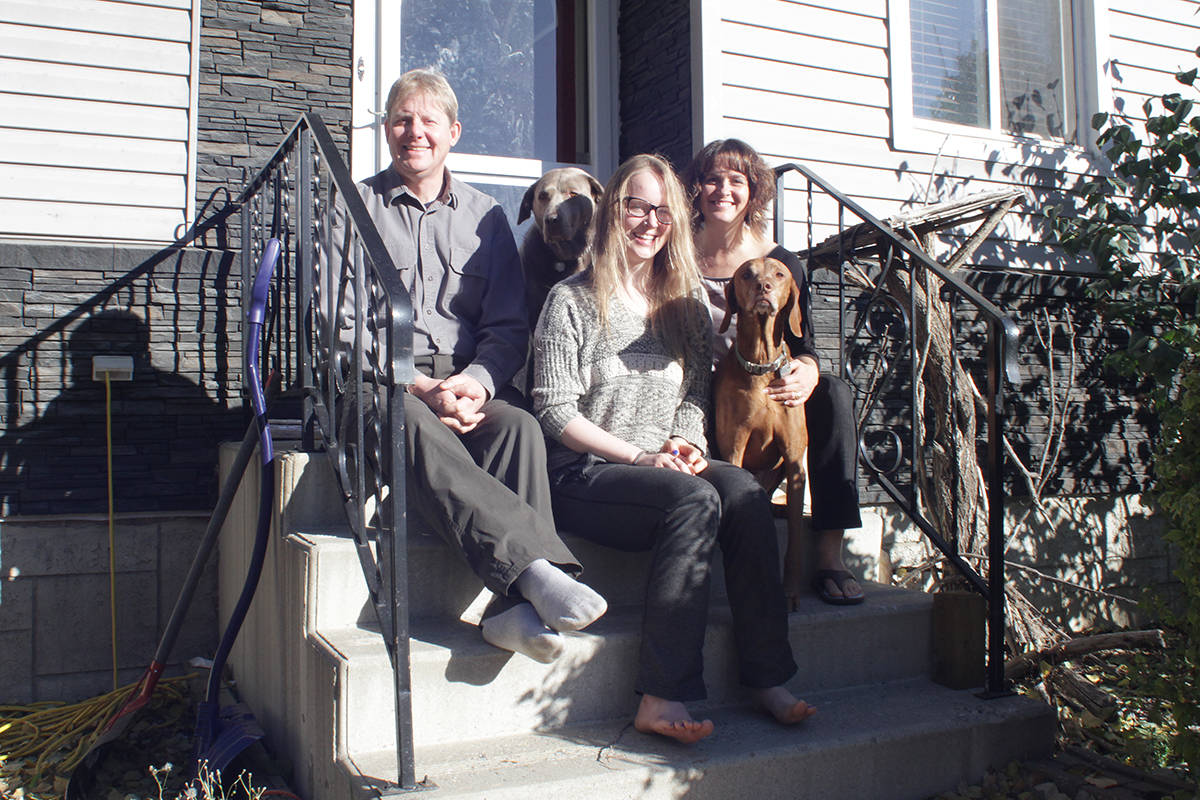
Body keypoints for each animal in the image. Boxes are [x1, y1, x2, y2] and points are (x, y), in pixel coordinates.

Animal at [715, 260, 811, 609]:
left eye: (779, 274)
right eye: (747, 274)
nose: (763, 288)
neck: (761, 365)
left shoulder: (795, 462)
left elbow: (796, 538)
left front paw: (791, 590)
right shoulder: (734, 447)